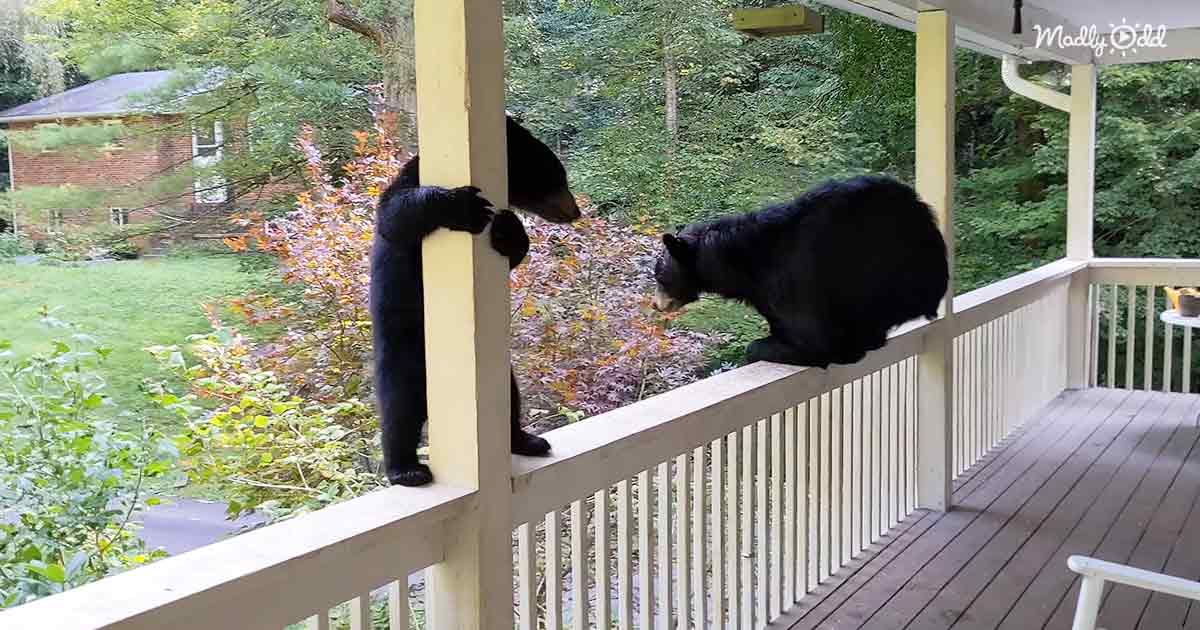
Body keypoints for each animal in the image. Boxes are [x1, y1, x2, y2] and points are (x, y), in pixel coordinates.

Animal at [371, 116, 581, 487]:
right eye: (558, 177)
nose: (576, 211)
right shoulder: (407, 185)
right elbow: (394, 214)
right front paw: (461, 205)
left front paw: (509, 230)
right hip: (402, 354)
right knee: (399, 409)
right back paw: (406, 469)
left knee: (509, 396)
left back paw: (527, 440)